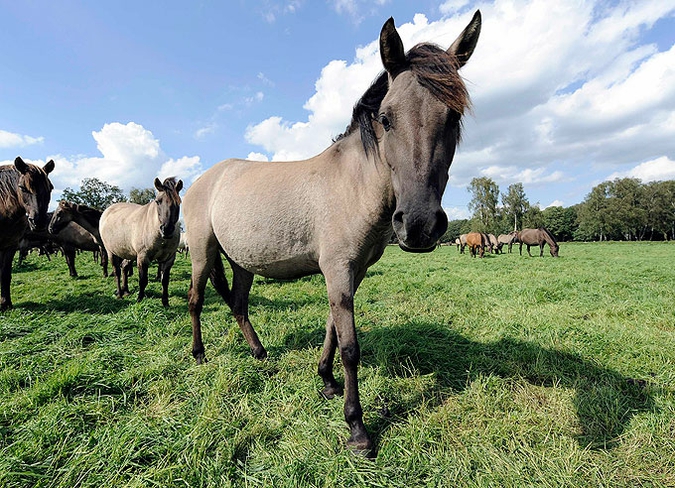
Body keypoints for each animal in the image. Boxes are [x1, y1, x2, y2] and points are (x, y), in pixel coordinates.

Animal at [0, 156, 55, 308]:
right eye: (22, 188)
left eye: (50, 188)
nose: (38, 221)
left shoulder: (10, 247)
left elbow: (5, 274)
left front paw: (6, 303)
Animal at [97, 175, 182, 304]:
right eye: (158, 201)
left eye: (178, 202)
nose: (166, 229)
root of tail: (107, 211)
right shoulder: (142, 257)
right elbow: (143, 280)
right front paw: (140, 298)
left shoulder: (168, 259)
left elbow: (165, 281)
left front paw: (165, 302)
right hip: (111, 252)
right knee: (117, 271)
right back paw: (120, 294)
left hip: (128, 253)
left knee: (124, 267)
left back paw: (126, 291)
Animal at [182, 10, 484, 454]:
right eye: (386, 118)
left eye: (454, 117)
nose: (419, 225)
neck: (353, 184)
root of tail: (204, 178)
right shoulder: (338, 269)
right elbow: (350, 347)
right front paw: (357, 427)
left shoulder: (350, 272)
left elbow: (330, 327)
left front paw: (325, 381)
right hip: (202, 254)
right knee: (196, 300)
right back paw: (200, 354)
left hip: (242, 263)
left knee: (238, 305)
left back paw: (259, 353)